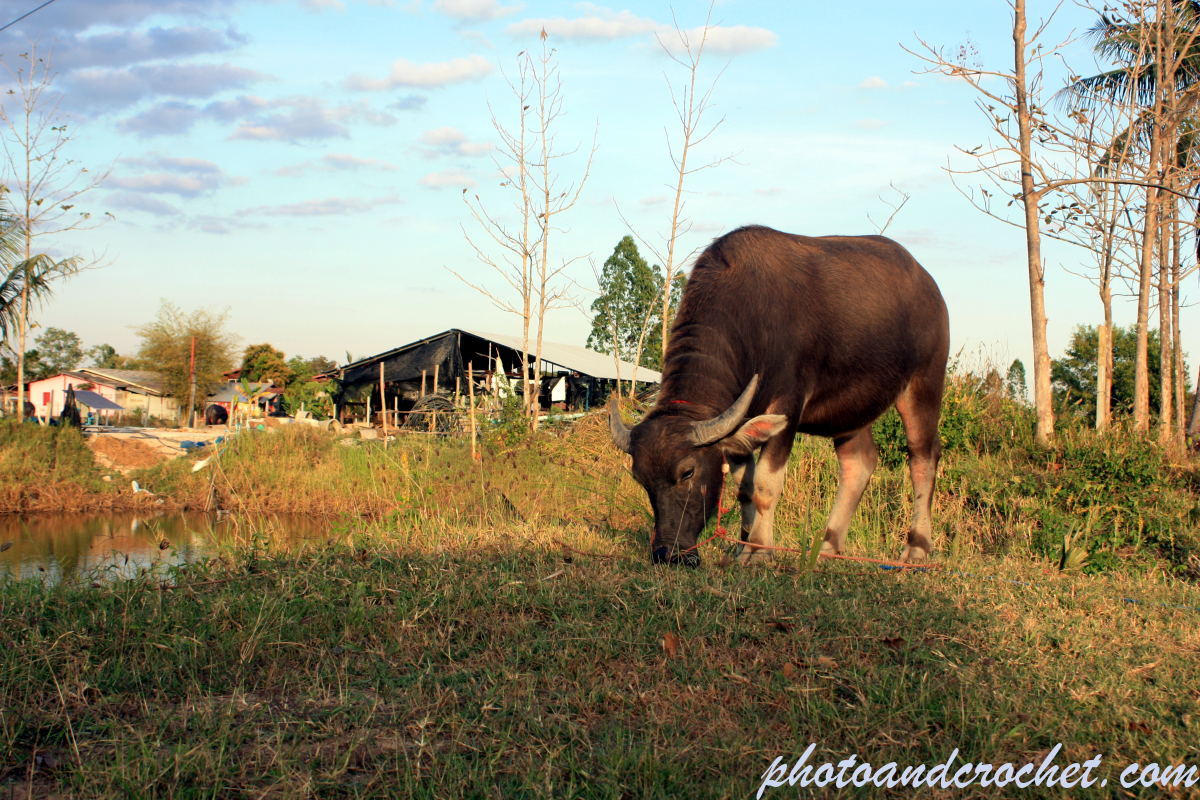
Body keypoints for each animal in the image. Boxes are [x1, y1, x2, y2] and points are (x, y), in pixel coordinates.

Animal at [610, 225, 949, 565]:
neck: (751, 316)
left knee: (923, 457)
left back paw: (917, 547)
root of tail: (931, 289)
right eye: (640, 479)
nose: (667, 553)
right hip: (851, 410)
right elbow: (743, 486)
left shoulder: (789, 404)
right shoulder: (740, 420)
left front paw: (759, 549)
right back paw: (828, 546)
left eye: (687, 472)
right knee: (859, 462)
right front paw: (741, 546)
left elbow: (764, 484)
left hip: (925, 382)